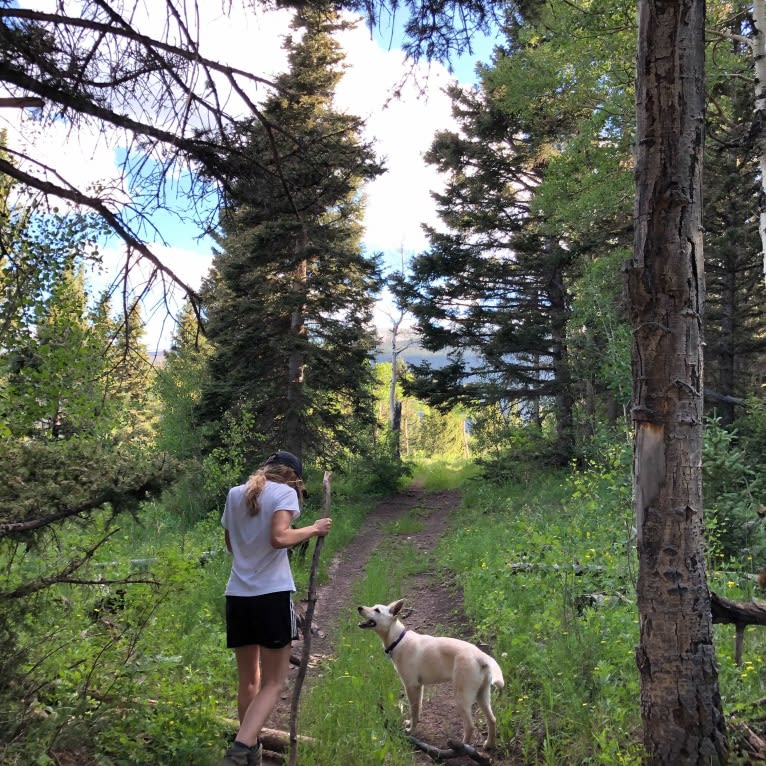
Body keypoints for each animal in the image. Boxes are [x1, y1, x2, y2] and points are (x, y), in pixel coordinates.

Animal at [358, 600, 504, 752]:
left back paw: (458, 749)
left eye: (377, 610)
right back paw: (489, 745)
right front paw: (412, 723)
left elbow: (413, 710)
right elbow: (418, 709)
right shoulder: (419, 687)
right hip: (482, 695)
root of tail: (482, 656)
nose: (359, 608)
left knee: (470, 726)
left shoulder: (411, 686)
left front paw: (411, 731)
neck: (397, 639)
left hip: (462, 697)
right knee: (492, 720)